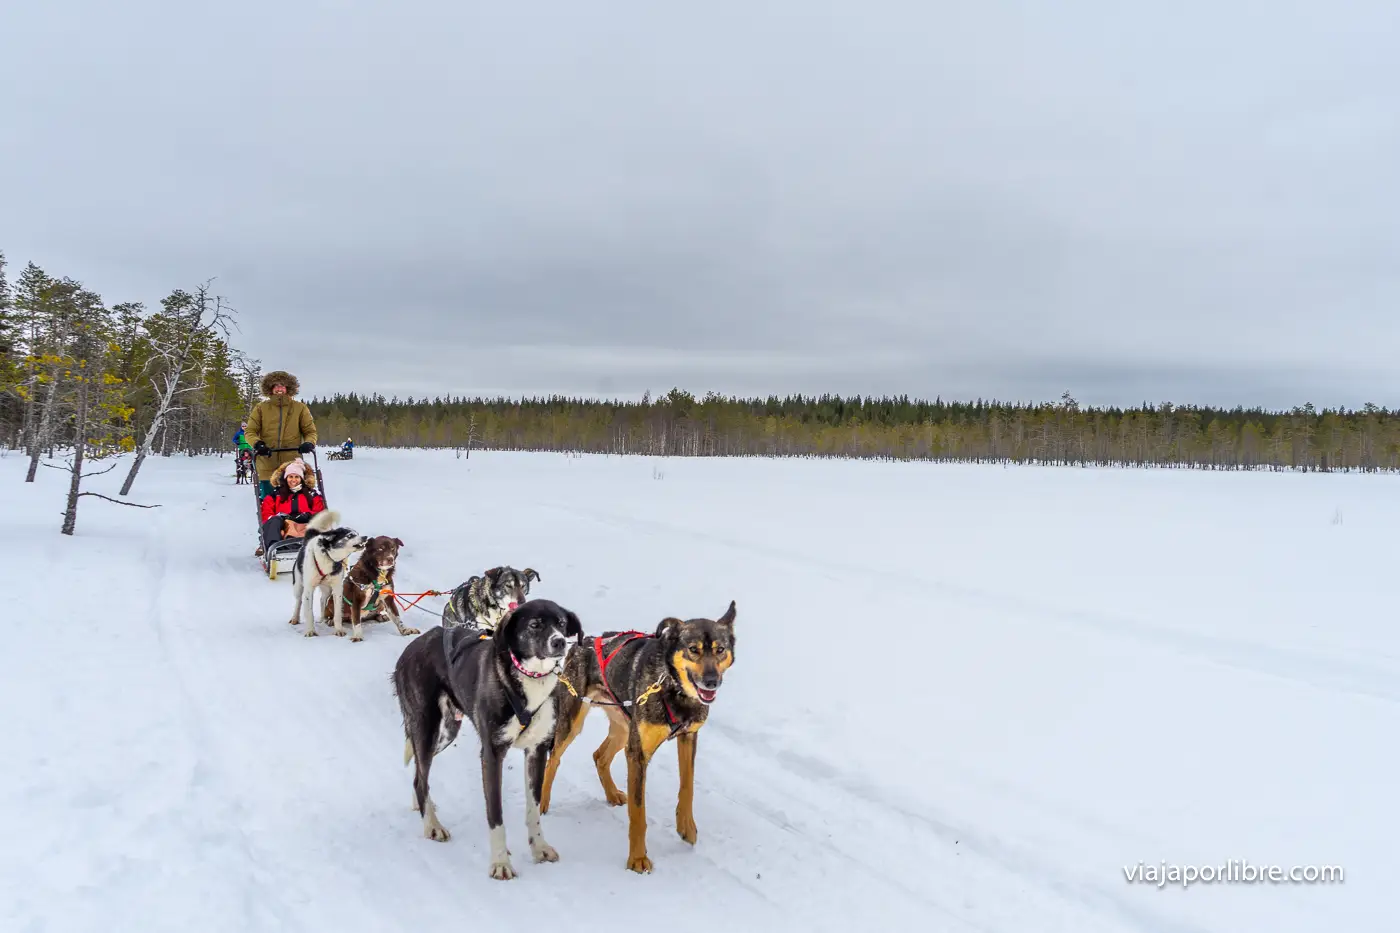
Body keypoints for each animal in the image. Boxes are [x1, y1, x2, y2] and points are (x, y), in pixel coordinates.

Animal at [394, 596, 585, 879]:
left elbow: (533, 808)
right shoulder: (492, 754)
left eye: (561, 623)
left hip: (447, 731)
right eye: (535, 624)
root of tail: (409, 649)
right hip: (426, 728)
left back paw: (423, 805)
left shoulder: (537, 750)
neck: (528, 679)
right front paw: (500, 863)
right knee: (421, 775)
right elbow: (496, 815)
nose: (559, 641)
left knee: (419, 774)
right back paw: (432, 825)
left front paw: (539, 848)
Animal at [534, 599, 739, 868]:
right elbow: (638, 811)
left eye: (720, 649)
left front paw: (687, 827)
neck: (672, 688)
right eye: (693, 649)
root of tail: (583, 642)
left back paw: (611, 793)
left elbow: (687, 786)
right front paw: (638, 858)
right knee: (554, 760)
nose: (711, 681)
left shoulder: (688, 738)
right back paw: (542, 803)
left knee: (599, 756)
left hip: (624, 727)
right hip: (573, 722)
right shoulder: (638, 754)